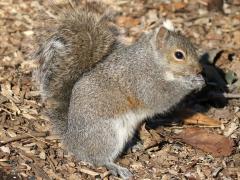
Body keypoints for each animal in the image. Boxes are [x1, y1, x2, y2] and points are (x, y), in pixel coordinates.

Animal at [33, 2, 205, 179]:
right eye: (179, 55)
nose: (199, 69)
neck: (152, 61)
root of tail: (72, 140)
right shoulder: (142, 81)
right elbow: (160, 97)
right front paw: (191, 82)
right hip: (107, 134)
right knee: (97, 158)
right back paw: (116, 167)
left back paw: (134, 145)